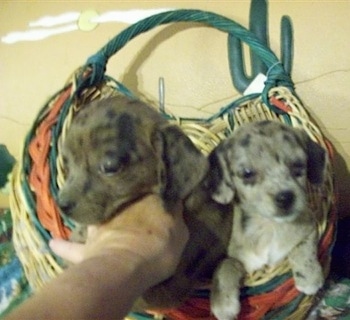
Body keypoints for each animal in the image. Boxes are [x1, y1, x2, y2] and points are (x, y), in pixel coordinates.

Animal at [206, 120, 326, 320]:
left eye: (298, 165)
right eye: (247, 173)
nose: (285, 197)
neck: (268, 226)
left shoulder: (309, 226)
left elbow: (302, 248)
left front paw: (309, 277)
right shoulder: (237, 259)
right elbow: (224, 266)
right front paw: (223, 304)